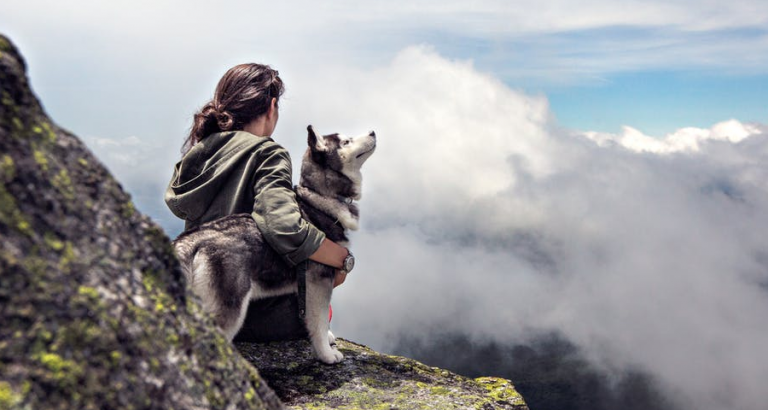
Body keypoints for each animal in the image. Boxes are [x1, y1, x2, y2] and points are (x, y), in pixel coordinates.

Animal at [175, 125, 378, 366]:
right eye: (347, 141)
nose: (373, 132)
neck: (319, 198)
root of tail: (193, 238)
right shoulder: (319, 281)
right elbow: (318, 320)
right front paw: (326, 354)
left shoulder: (305, 287)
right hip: (230, 307)